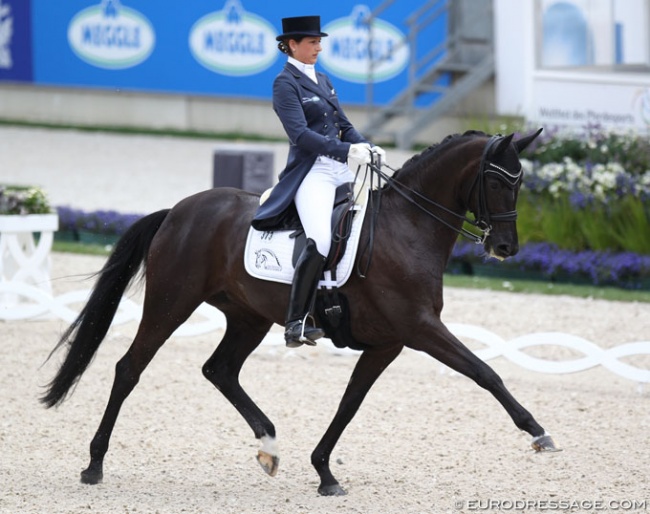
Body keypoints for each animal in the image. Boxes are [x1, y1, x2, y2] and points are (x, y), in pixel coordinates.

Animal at [40, 129, 556, 496]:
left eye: (521, 182)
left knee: (219, 370)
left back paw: (269, 446)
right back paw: (94, 464)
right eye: (497, 180)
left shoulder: (389, 342)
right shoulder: (421, 328)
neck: (406, 228)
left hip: (247, 317)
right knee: (130, 368)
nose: (505, 247)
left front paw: (324, 472)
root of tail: (178, 211)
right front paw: (538, 432)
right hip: (172, 303)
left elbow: (350, 403)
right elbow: (485, 372)